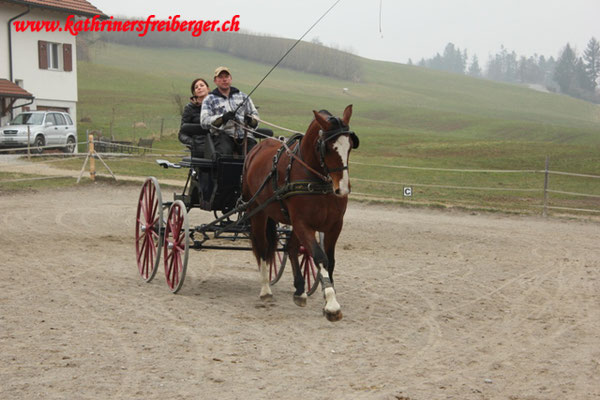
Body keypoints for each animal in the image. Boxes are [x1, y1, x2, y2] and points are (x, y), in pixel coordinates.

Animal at [241, 104, 358, 322]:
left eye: (349, 145)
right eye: (327, 147)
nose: (342, 188)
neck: (316, 178)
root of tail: (257, 148)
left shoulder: (333, 225)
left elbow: (329, 260)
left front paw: (326, 297)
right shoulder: (303, 223)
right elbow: (320, 257)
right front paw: (331, 304)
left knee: (292, 248)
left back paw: (299, 290)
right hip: (257, 211)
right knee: (262, 247)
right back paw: (266, 290)